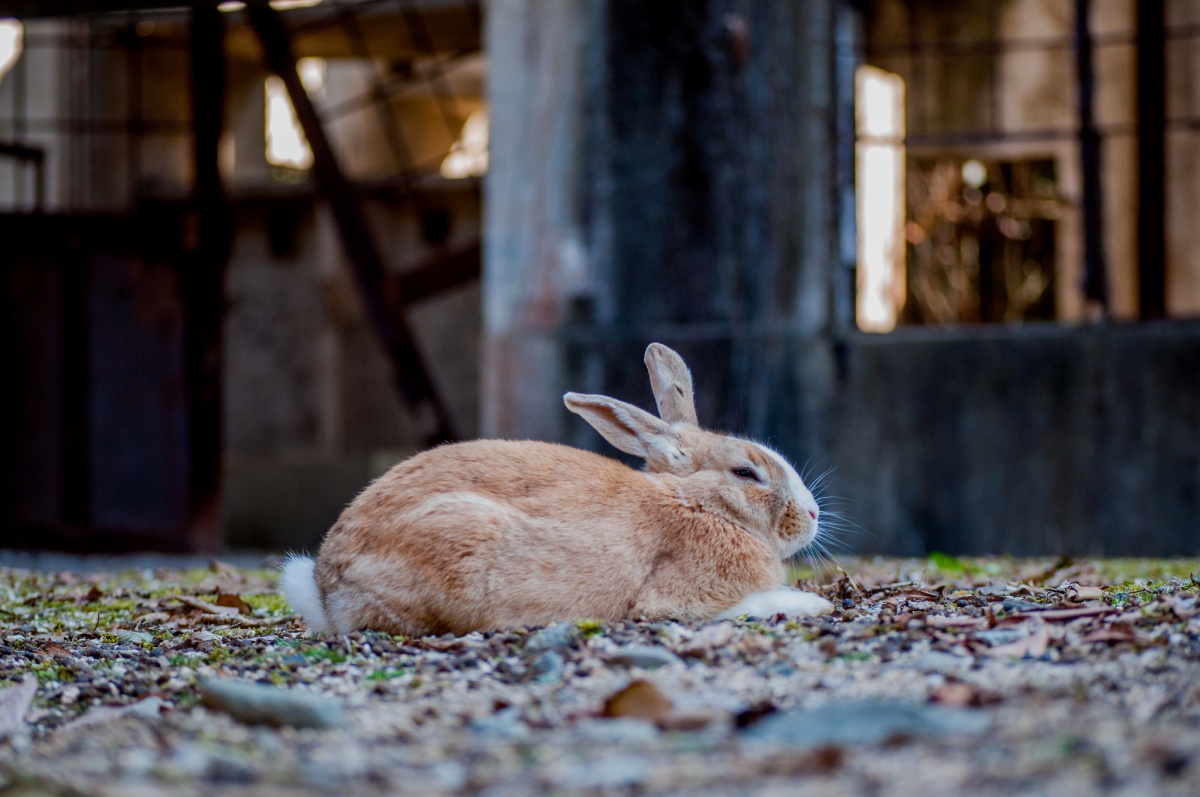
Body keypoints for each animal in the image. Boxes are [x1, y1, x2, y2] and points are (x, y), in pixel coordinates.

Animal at [280, 343, 835, 633]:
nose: (812, 516)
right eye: (746, 474)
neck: (697, 503)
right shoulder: (676, 598)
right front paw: (815, 607)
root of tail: (327, 589)